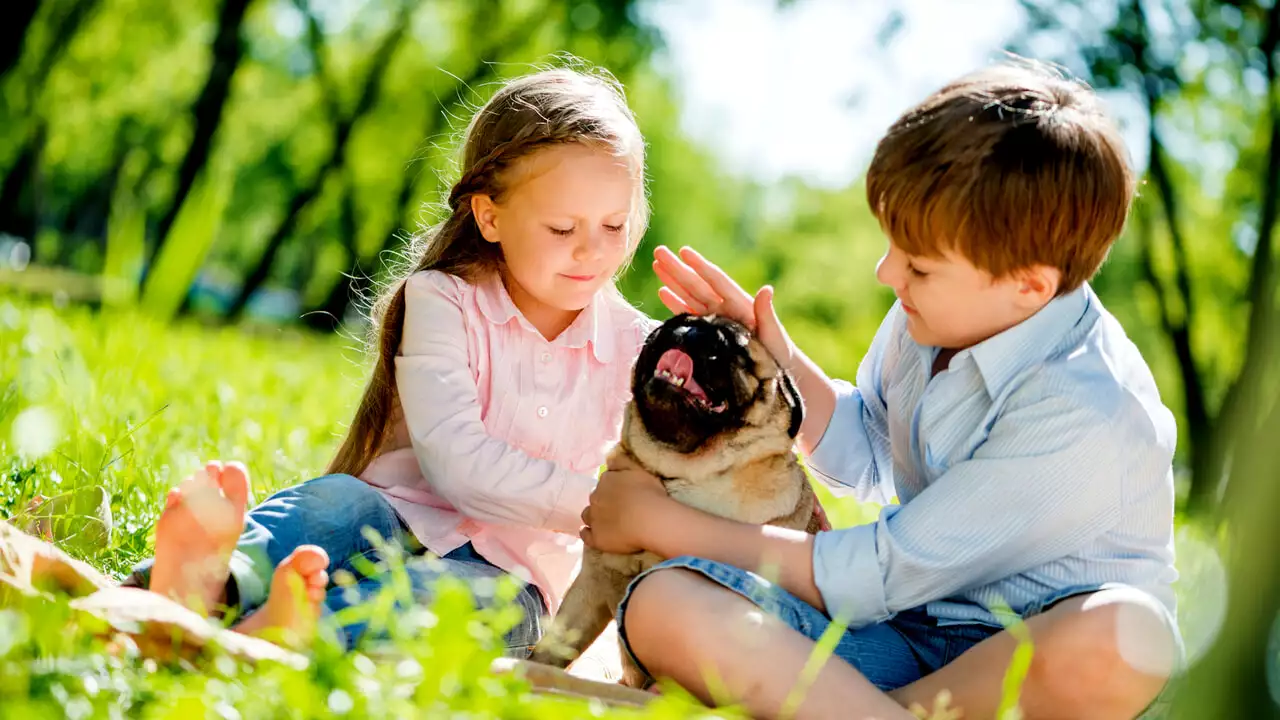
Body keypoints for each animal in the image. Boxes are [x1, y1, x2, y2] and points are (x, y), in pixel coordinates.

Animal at [527, 311, 819, 686]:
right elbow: (553, 648)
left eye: (732, 343)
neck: (677, 474)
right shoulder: (589, 589)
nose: (689, 331)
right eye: (671, 324)